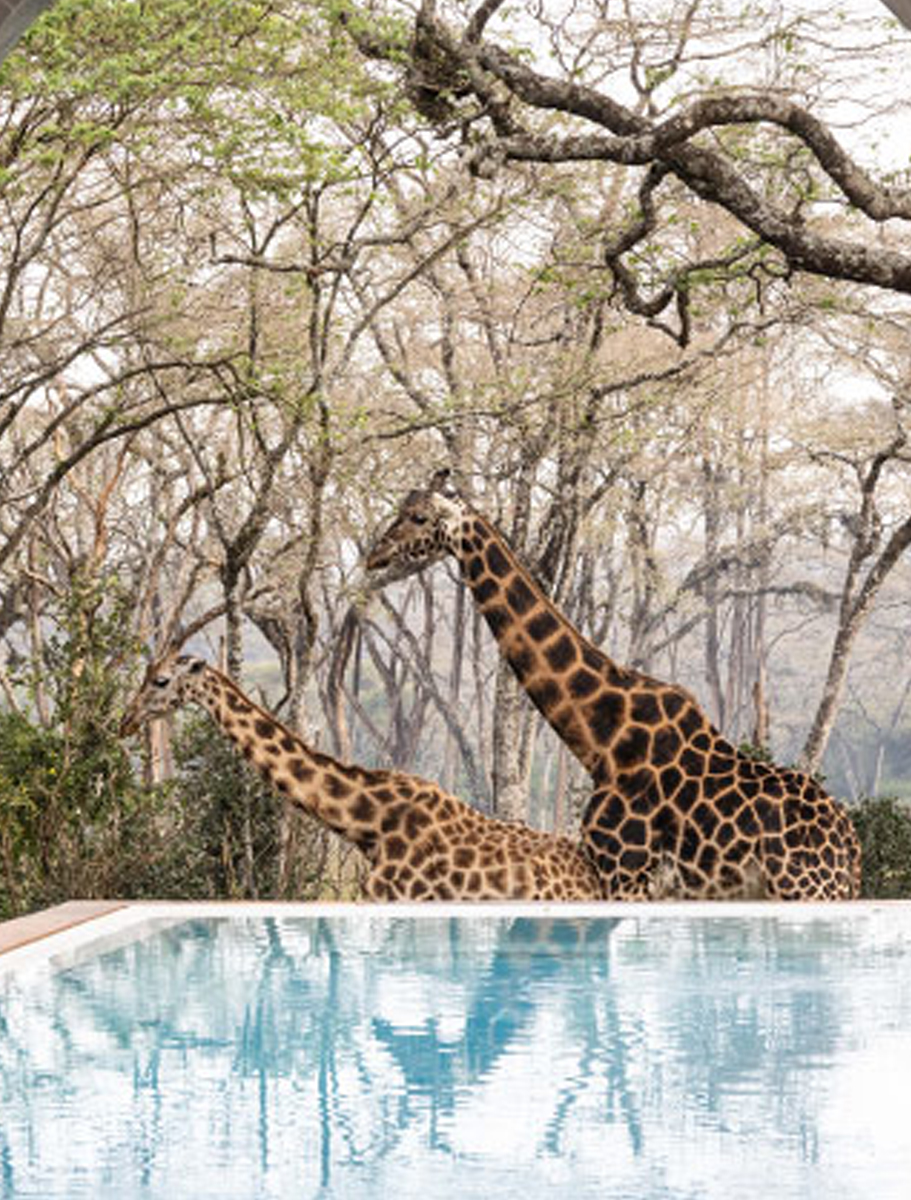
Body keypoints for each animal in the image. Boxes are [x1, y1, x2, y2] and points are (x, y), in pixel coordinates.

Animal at [366, 470, 862, 900]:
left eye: (419, 517)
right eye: (403, 508)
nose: (374, 555)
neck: (601, 740)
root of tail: (852, 850)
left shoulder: (625, 870)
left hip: (807, 890)